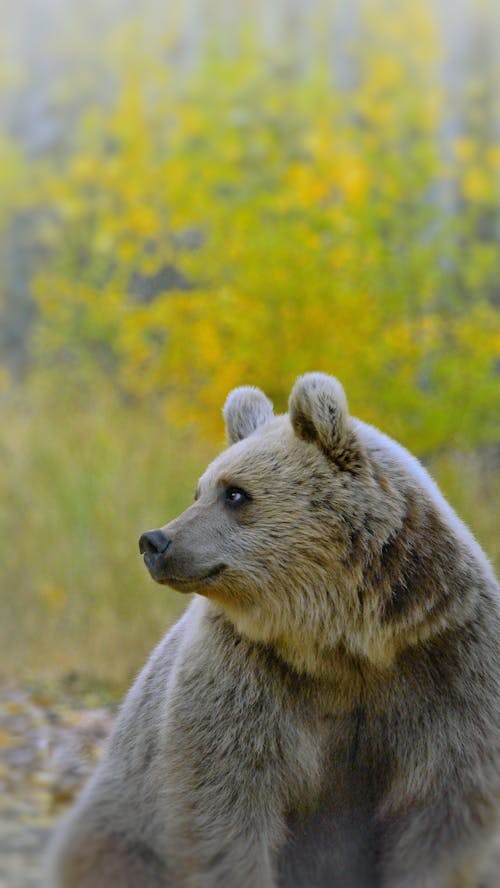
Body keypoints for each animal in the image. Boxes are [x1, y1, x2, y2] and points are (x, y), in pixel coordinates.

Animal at [46, 374, 500, 888]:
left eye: (235, 493)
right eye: (199, 490)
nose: (154, 542)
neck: (344, 638)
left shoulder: (447, 661)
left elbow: (443, 806)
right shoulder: (247, 674)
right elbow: (224, 802)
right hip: (120, 823)